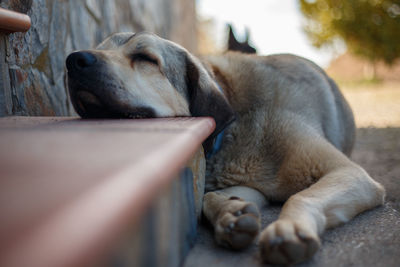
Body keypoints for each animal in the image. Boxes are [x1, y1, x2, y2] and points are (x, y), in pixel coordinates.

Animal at [66, 31, 388, 266]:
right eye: (100, 47)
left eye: (145, 58)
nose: (74, 60)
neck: (233, 127)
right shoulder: (249, 183)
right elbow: (210, 198)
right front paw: (231, 214)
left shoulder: (347, 172)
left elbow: (301, 196)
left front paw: (289, 229)